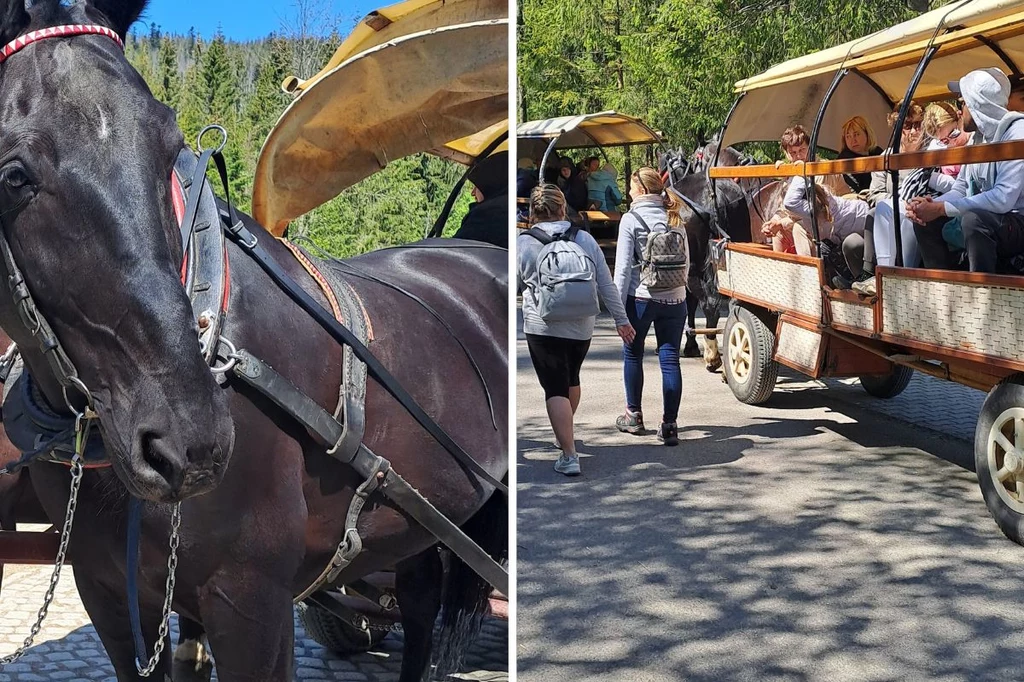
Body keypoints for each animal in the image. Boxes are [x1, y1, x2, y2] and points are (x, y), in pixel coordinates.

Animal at [0, 1, 505, 679]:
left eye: (171, 147)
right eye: (12, 176)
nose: (189, 440)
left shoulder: (251, 598)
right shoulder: (106, 591)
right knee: (422, 595)